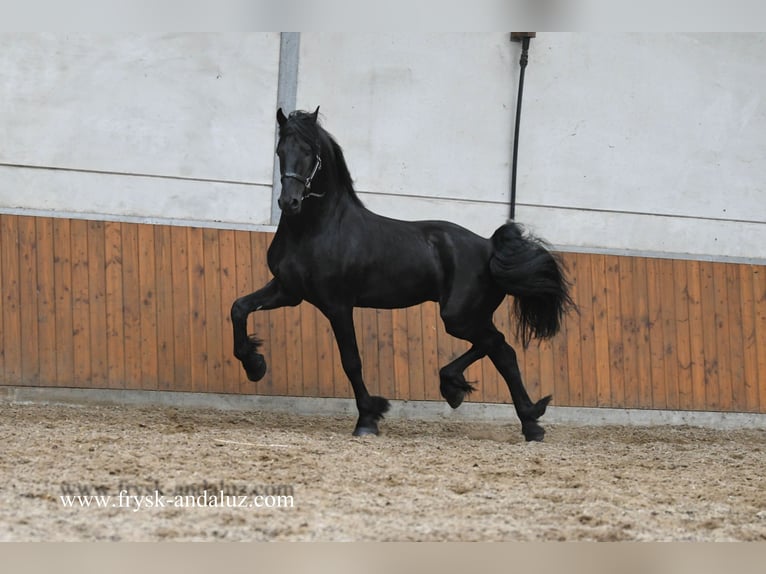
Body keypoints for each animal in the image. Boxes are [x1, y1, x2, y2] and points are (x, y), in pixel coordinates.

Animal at [234, 107, 576, 440]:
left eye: (309, 151)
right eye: (280, 150)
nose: (288, 202)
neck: (314, 230)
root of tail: (490, 247)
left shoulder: (338, 305)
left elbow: (351, 361)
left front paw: (368, 419)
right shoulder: (288, 291)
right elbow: (239, 308)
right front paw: (254, 365)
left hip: (459, 316)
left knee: (500, 348)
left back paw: (519, 417)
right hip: (467, 316)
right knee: (499, 349)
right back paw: (495, 406)